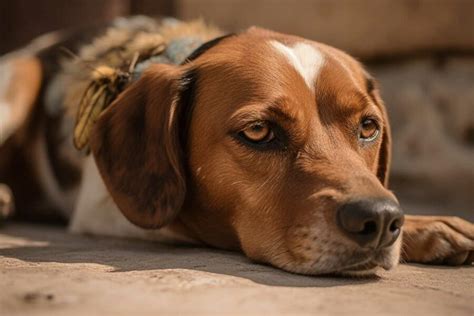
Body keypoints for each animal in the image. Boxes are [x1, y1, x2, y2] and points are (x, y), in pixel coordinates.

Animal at [0, 16, 474, 276]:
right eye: (259, 132)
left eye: (369, 127)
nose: (379, 220)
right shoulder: (102, 208)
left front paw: (428, 225)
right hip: (18, 81)